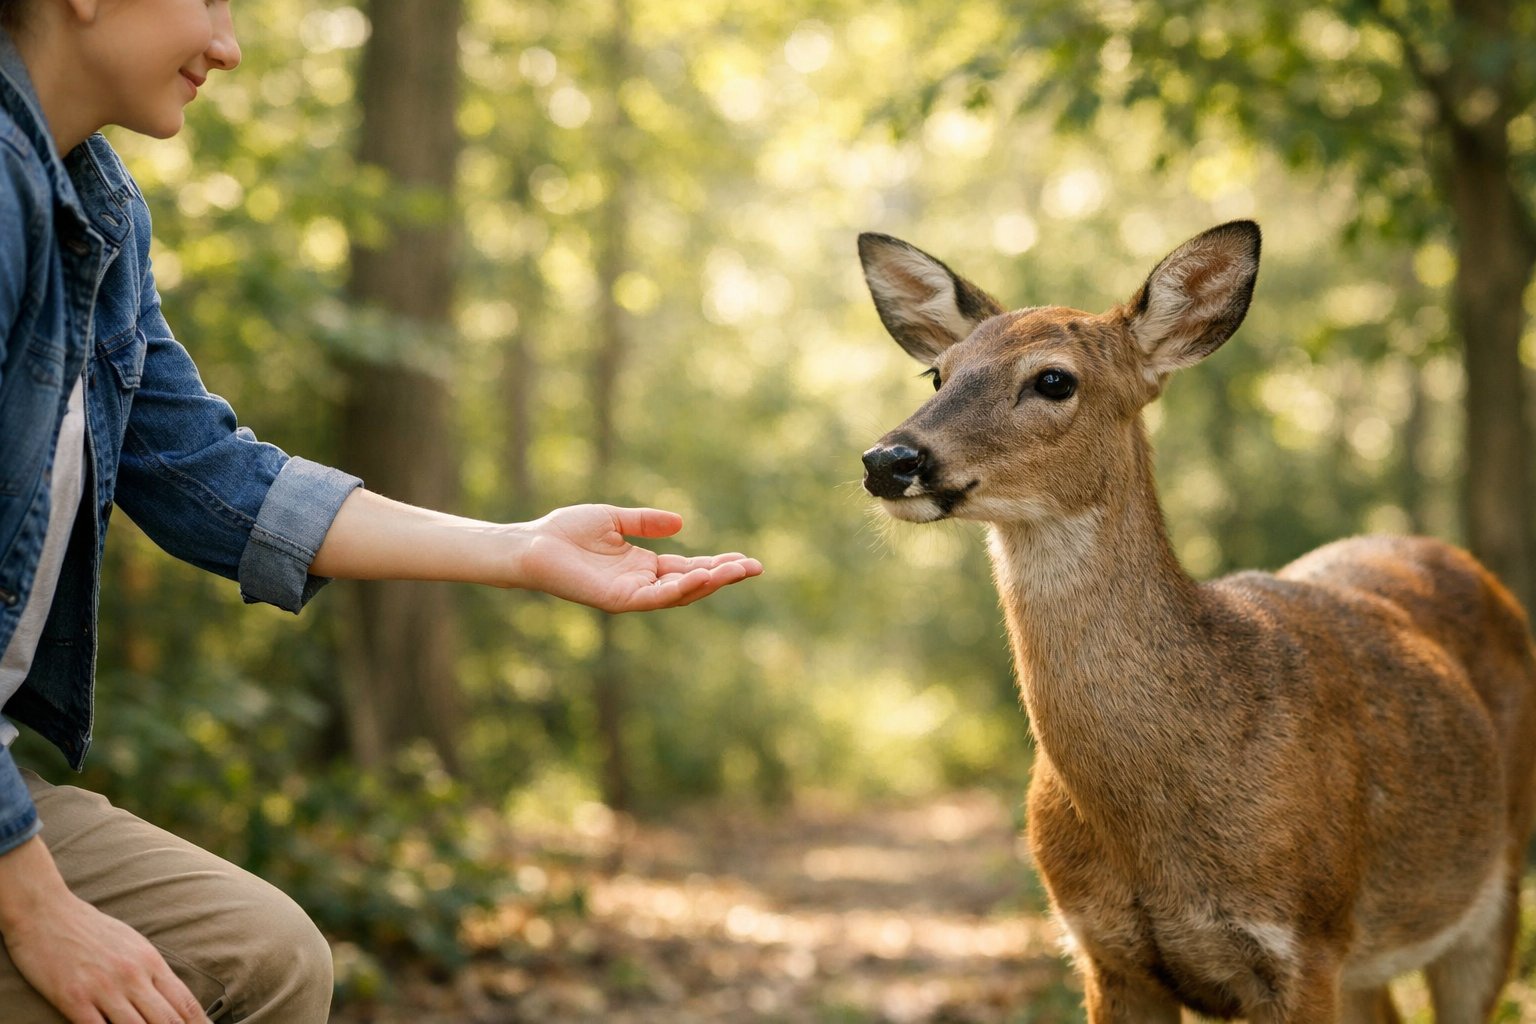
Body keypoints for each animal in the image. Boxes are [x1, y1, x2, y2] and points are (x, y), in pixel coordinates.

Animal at [857, 221, 1536, 1023]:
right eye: (939, 374)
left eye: (1054, 379)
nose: (888, 459)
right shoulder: (1104, 949)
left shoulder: (1307, 941)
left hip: (1494, 885)